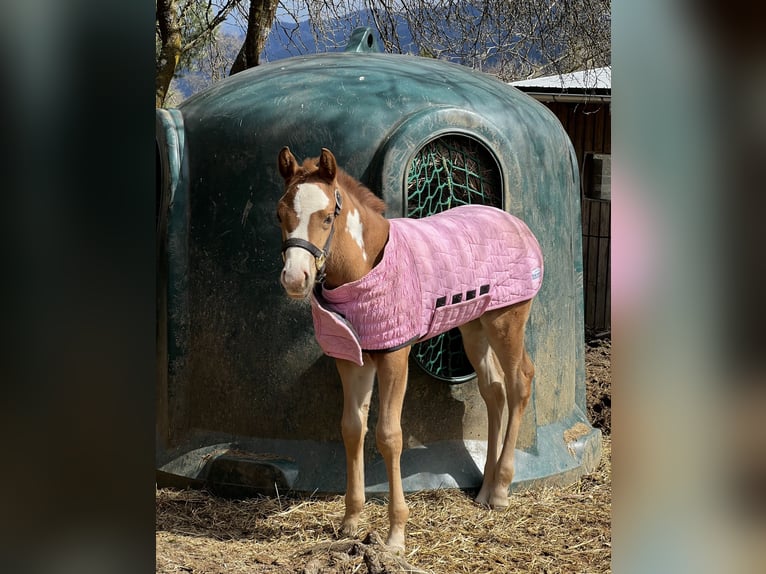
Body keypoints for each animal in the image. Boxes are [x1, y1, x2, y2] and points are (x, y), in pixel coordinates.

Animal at [276, 147, 543, 552]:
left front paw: (396, 535)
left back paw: (500, 491)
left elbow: (389, 436)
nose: (295, 279)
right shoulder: (351, 358)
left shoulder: (394, 355)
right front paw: (351, 521)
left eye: (326, 217)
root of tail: (517, 224)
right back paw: (484, 489)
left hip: (506, 319)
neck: (364, 271)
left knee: (519, 382)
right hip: (473, 326)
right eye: (280, 214)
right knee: (494, 389)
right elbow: (351, 429)